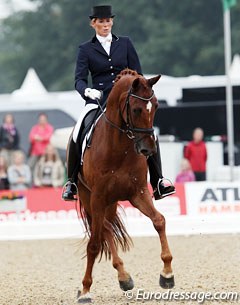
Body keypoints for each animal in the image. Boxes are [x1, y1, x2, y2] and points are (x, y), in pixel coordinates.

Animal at [76, 69, 173, 302]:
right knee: (103, 231)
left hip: (110, 203)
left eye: (156, 106)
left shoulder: (138, 193)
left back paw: (124, 277)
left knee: (108, 228)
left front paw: (167, 273)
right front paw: (85, 289)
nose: (148, 149)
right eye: (136, 109)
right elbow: (93, 245)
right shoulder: (98, 197)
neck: (119, 146)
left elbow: (159, 221)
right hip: (90, 198)